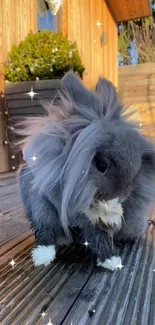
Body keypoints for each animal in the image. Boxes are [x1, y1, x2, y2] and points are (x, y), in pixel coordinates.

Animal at [18, 72, 155, 270]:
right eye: (101, 165)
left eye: (137, 162)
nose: (122, 195)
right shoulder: (49, 207)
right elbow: (49, 229)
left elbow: (102, 234)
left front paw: (111, 259)